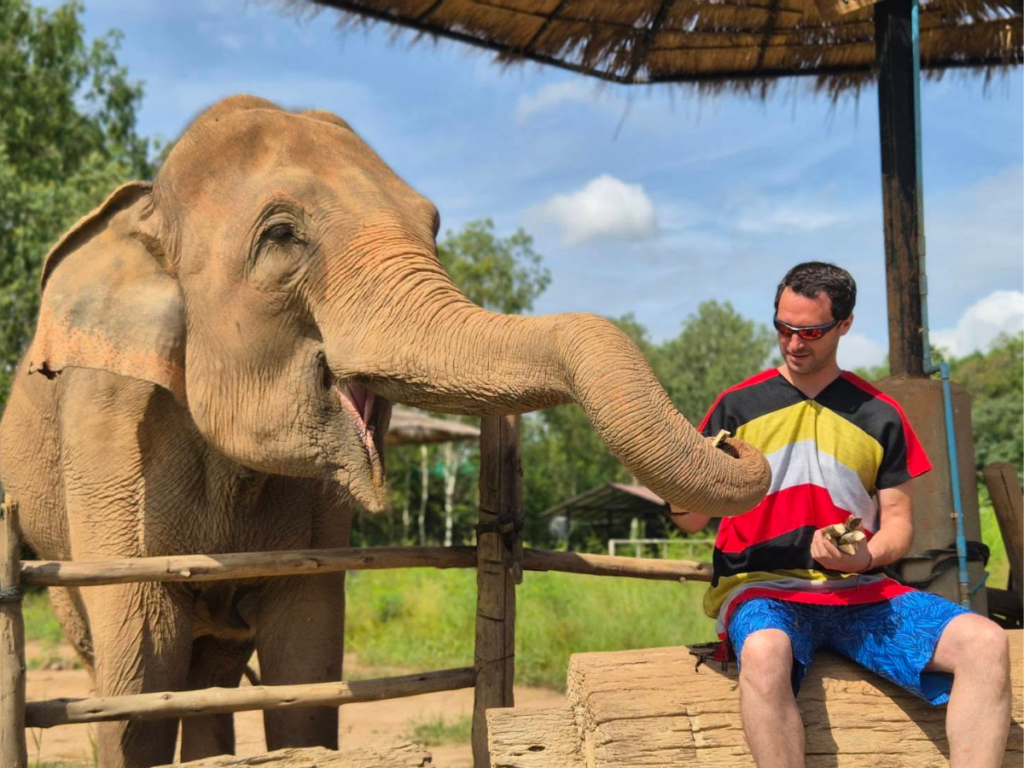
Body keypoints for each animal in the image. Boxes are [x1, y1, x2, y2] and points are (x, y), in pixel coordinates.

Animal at [0, 95, 770, 768]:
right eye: (281, 235)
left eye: (432, 224)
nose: (731, 438)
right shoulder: (108, 431)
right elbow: (139, 667)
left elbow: (307, 656)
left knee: (211, 670)